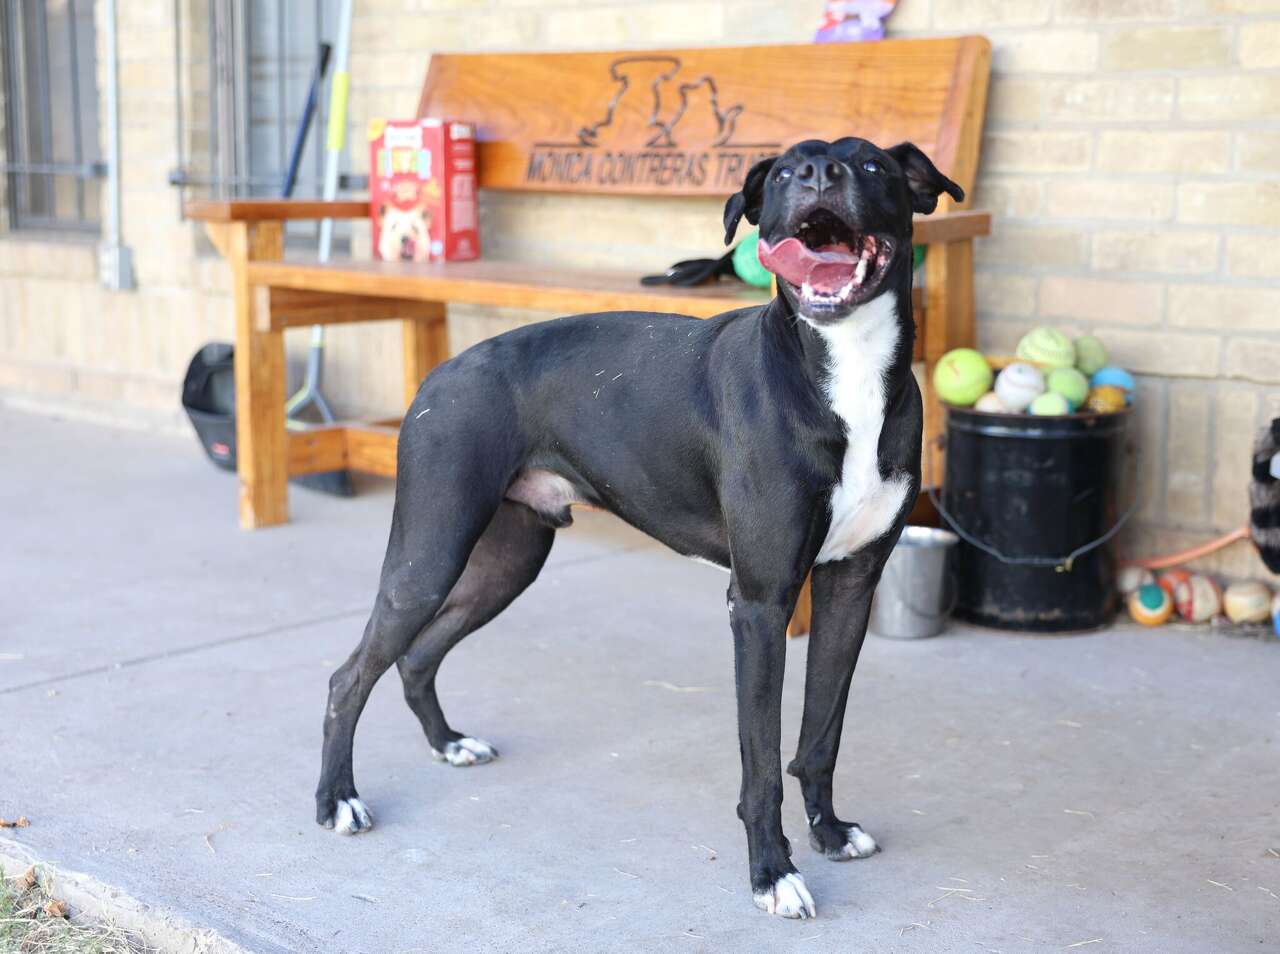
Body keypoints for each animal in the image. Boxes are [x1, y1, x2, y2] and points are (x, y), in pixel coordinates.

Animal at [316, 137, 963, 919]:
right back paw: (337, 800)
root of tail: (440, 375)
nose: (817, 174)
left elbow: (820, 736)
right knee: (348, 676)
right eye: (783, 172)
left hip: (507, 561)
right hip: (429, 555)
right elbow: (760, 764)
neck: (843, 370)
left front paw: (830, 833)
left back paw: (448, 744)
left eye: (871, 166)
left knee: (416, 656)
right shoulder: (759, 605)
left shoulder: (850, 587)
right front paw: (773, 873)